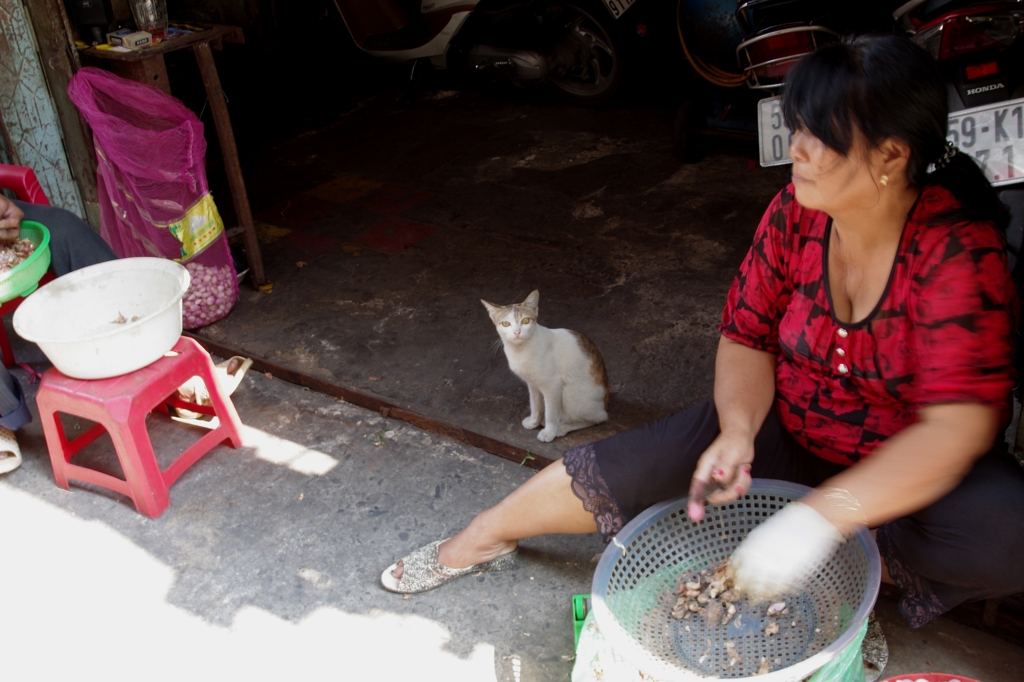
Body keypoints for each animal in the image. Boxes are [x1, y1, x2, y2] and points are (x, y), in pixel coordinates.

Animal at [479, 290, 606, 440]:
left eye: (525, 321)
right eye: (505, 324)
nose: (517, 332)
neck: (521, 350)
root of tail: (606, 401)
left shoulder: (553, 386)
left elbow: (551, 413)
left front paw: (549, 432)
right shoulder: (533, 384)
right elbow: (535, 405)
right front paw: (534, 422)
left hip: (570, 393)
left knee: (598, 418)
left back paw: (563, 427)